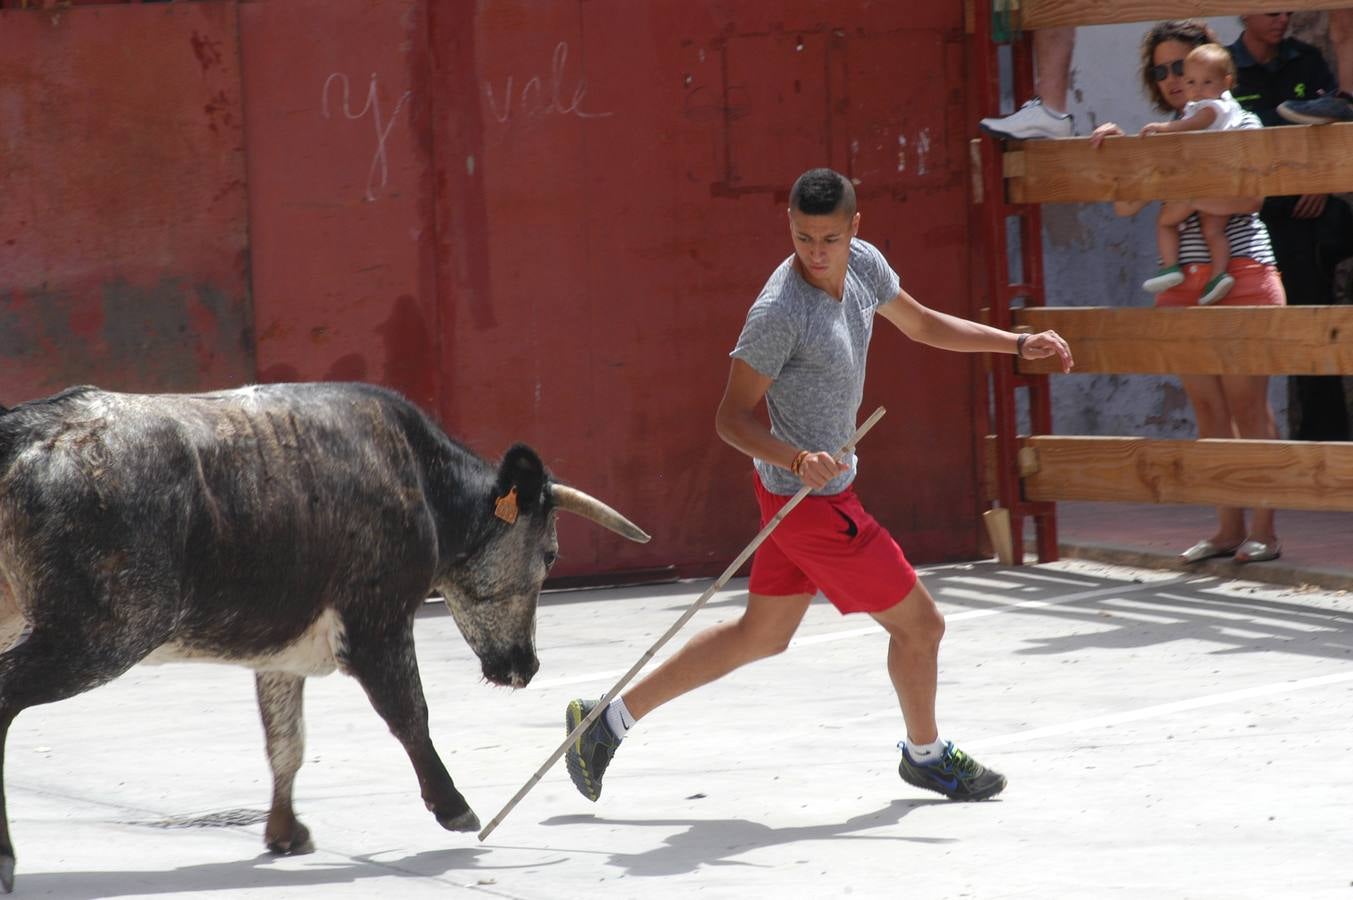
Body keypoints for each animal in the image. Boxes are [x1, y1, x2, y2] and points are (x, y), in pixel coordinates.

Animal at [0, 381, 649, 893]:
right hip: (103, 633)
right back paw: (7, 858)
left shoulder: (280, 653)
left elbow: (286, 741)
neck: (421, 482)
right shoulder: (377, 625)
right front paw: (456, 809)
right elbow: (411, 715)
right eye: (550, 554)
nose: (525, 666)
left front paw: (286, 833)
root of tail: (26, 429)